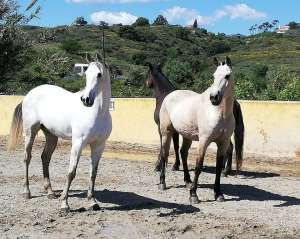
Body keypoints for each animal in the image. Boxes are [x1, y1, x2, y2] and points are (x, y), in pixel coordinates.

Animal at [7, 53, 112, 211]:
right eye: (86, 73)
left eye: (99, 74)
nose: (86, 99)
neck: (98, 113)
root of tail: (28, 95)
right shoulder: (78, 143)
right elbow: (71, 172)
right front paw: (64, 203)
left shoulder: (99, 146)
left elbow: (93, 174)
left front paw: (92, 201)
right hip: (30, 131)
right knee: (27, 158)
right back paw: (27, 192)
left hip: (51, 136)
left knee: (45, 158)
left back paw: (50, 192)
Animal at [158, 57, 243, 203]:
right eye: (213, 76)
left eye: (227, 75)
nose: (214, 98)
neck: (218, 113)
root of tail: (169, 96)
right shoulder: (204, 141)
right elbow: (198, 166)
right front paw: (193, 195)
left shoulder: (223, 142)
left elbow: (219, 167)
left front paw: (218, 194)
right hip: (166, 133)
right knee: (164, 154)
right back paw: (163, 183)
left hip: (186, 136)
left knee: (183, 153)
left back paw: (187, 181)